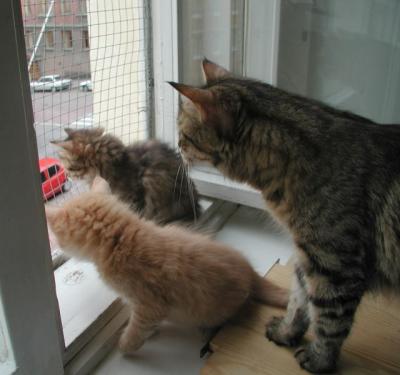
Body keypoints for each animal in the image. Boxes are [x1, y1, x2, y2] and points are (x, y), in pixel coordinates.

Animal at [46, 176, 288, 356]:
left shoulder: (149, 305)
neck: (120, 237)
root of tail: (250, 271)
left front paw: (125, 346)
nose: (57, 243)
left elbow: (137, 329)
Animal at [170, 58, 400, 374]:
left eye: (183, 135)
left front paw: (320, 360)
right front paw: (286, 333)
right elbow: (299, 302)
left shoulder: (336, 268)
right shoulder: (307, 258)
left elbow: (329, 321)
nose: (175, 148)